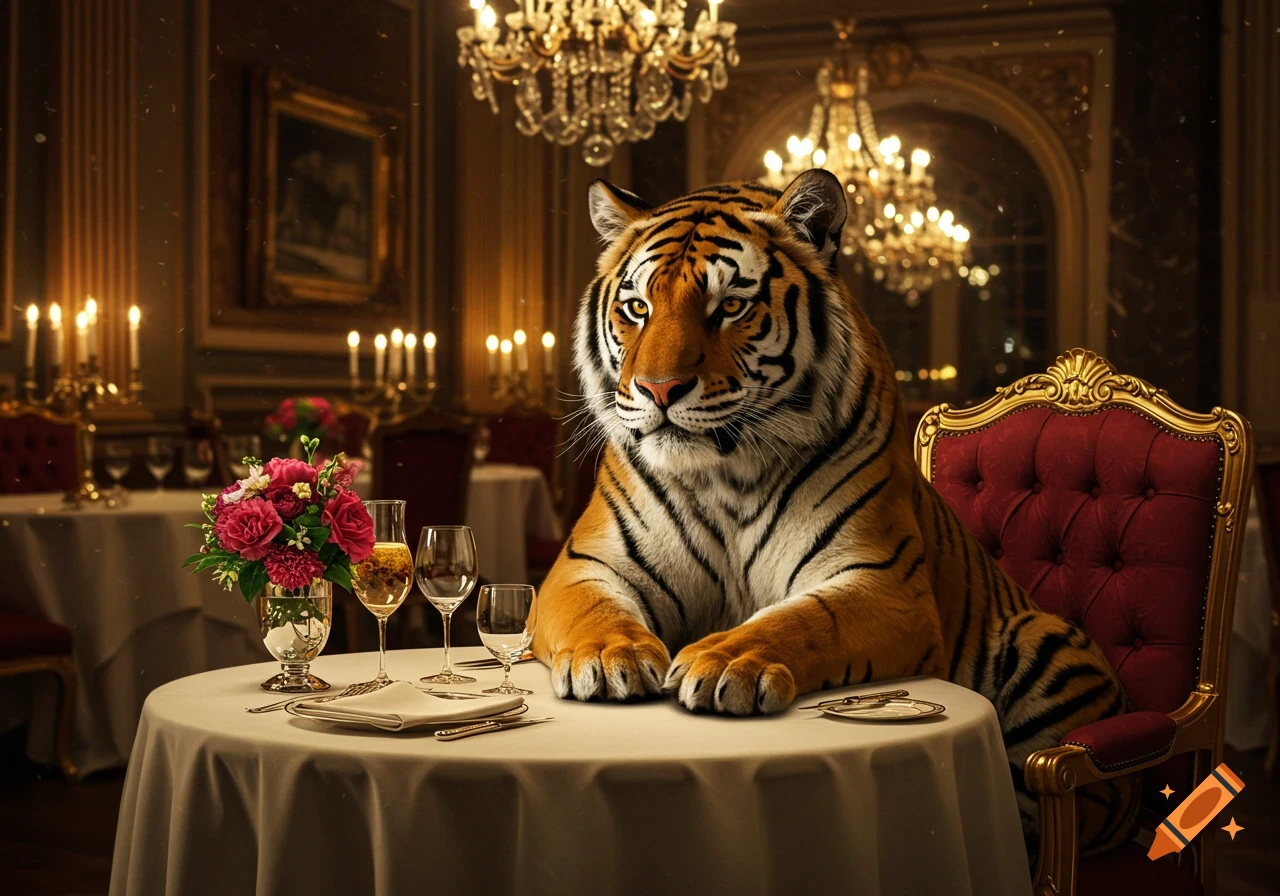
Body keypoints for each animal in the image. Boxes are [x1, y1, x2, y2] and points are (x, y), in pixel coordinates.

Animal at [530, 168, 1140, 855]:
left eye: (730, 306)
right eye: (638, 308)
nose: (657, 390)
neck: (722, 474)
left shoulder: (882, 580)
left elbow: (801, 620)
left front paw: (723, 661)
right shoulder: (586, 564)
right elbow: (596, 610)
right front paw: (612, 658)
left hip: (1044, 643)